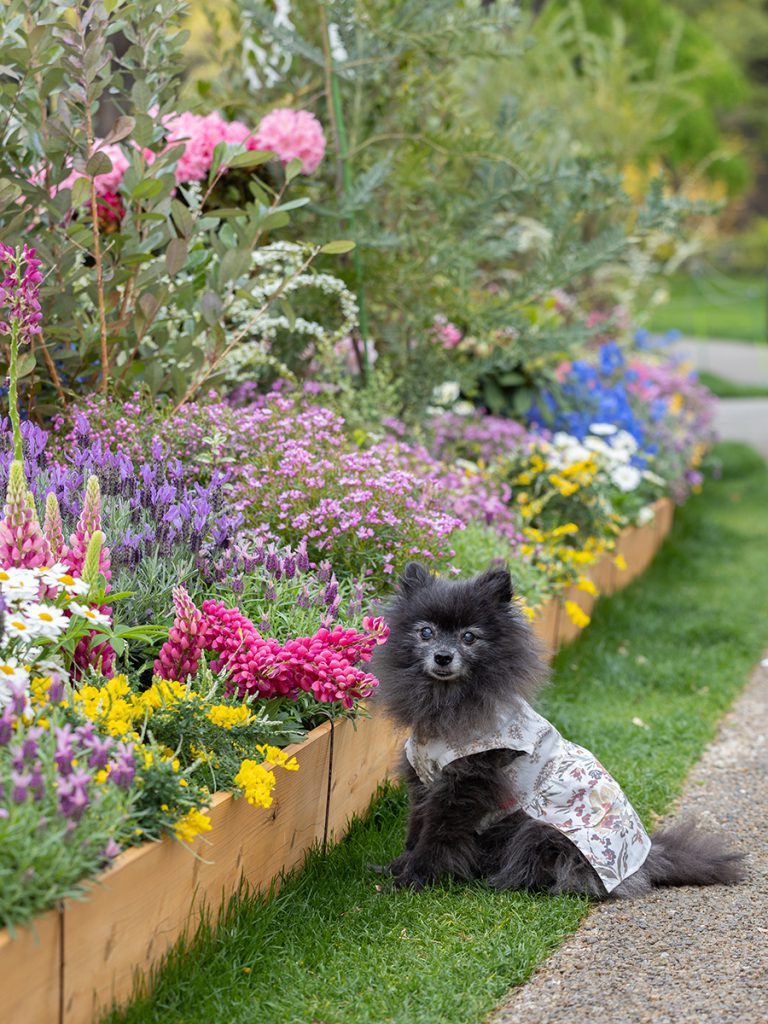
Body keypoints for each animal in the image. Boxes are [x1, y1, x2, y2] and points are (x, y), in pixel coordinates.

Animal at [372, 565, 745, 901]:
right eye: (426, 632)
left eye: (469, 637)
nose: (443, 656)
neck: (448, 702)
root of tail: (644, 863)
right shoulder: (425, 779)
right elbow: (417, 825)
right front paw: (397, 865)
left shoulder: (464, 784)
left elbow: (437, 835)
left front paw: (414, 877)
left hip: (542, 832)